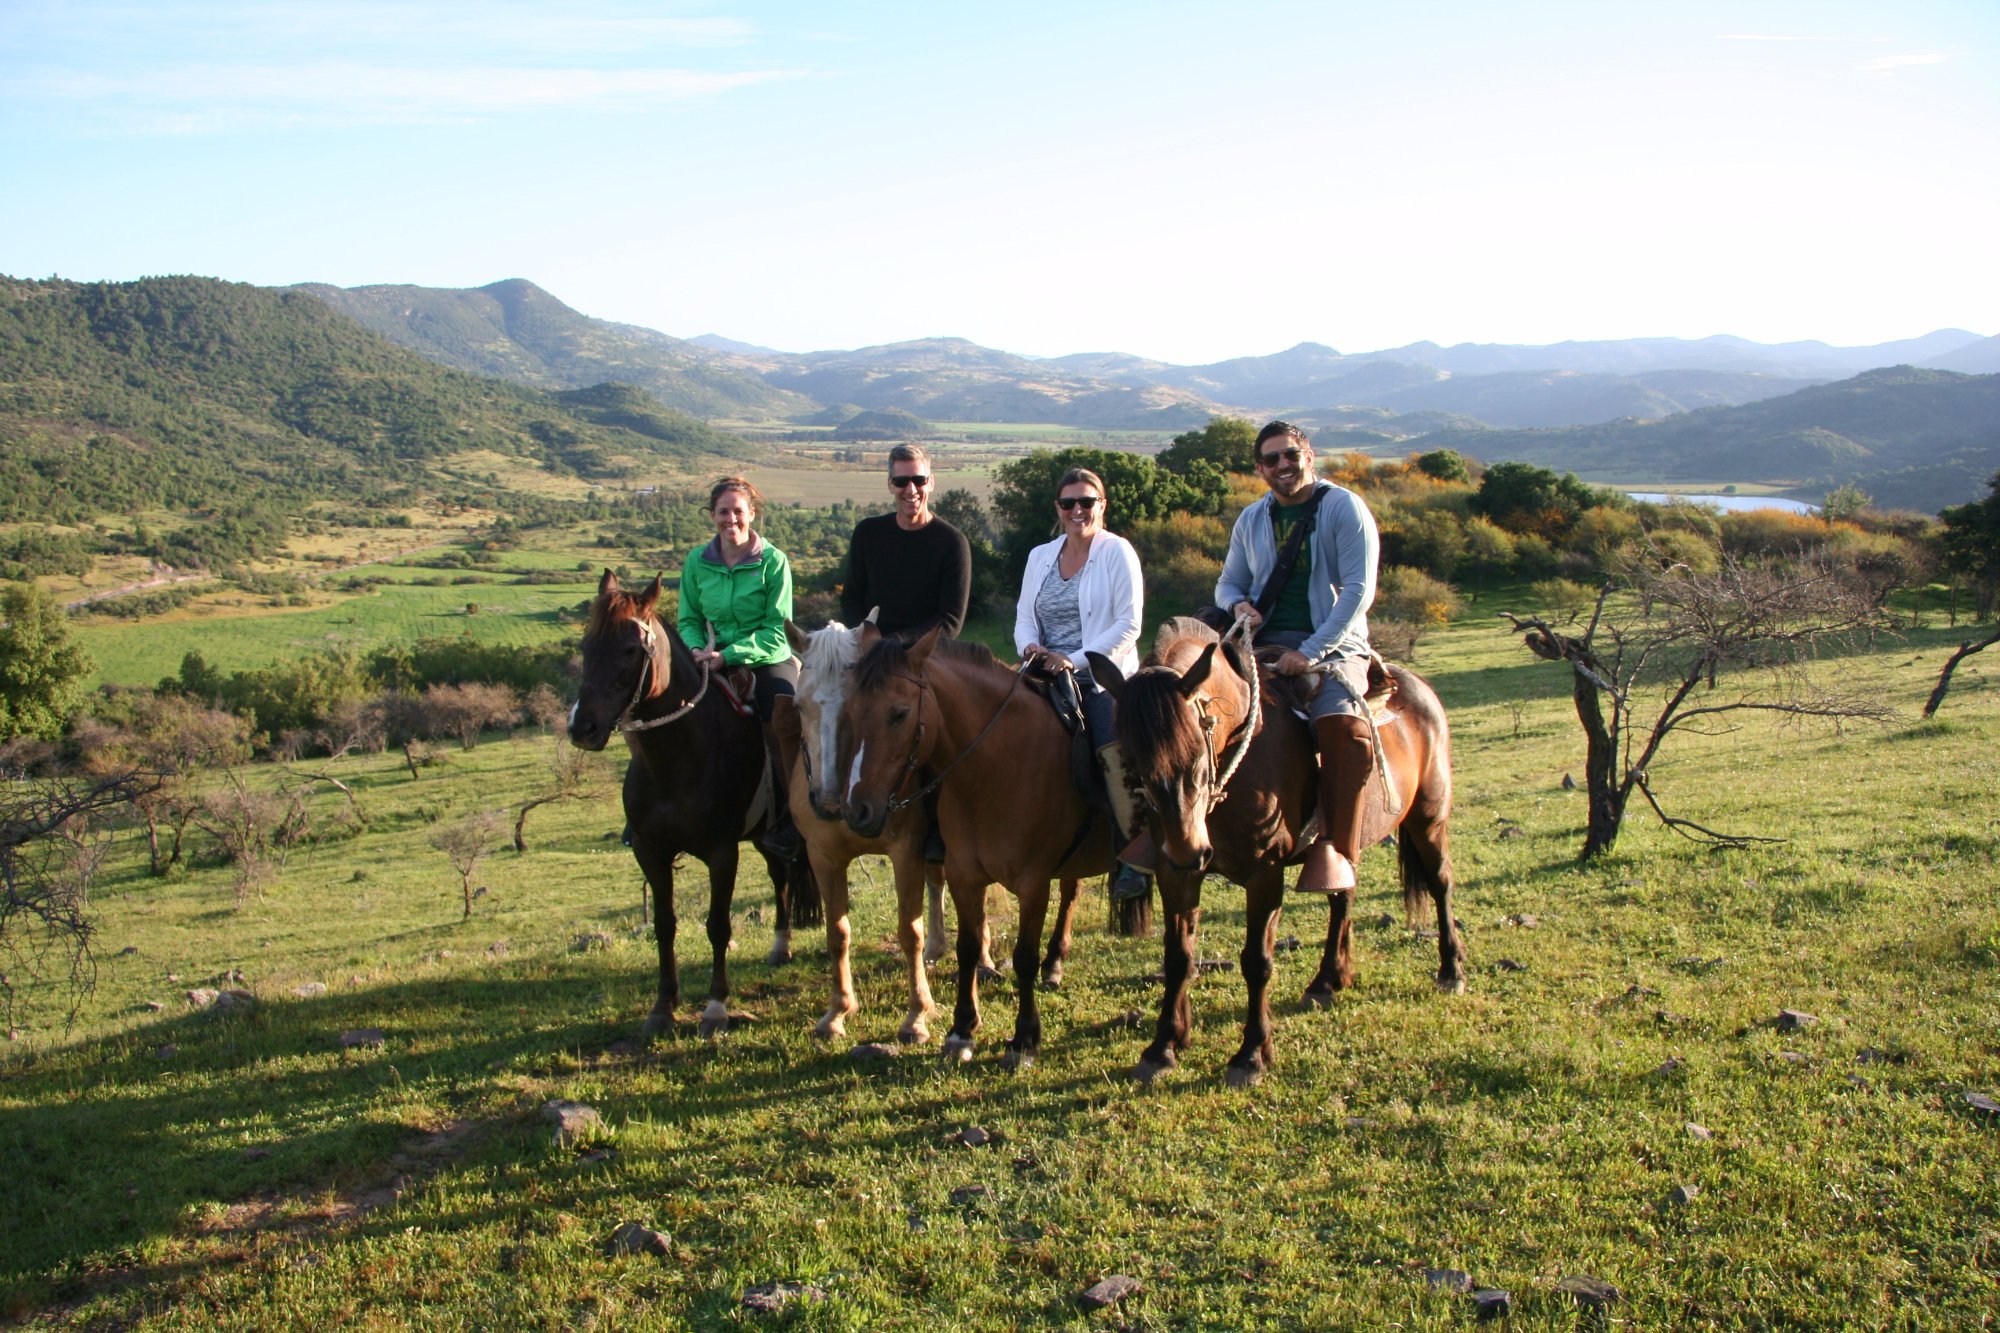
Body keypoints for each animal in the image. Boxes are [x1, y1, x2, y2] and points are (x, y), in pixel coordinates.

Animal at [568, 568, 816, 1040]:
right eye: (586, 646)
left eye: (630, 649)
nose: (582, 726)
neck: (677, 759)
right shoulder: (650, 850)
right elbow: (664, 925)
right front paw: (663, 1007)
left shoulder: (722, 852)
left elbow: (718, 925)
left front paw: (715, 1007)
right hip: (763, 836)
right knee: (780, 875)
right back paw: (781, 947)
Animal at [780, 612, 1000, 1040]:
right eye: (799, 705)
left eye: (852, 704)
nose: (828, 802)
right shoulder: (823, 856)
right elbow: (837, 932)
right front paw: (837, 1011)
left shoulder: (905, 851)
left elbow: (908, 932)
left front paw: (917, 1014)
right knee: (939, 881)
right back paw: (938, 947)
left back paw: (982, 958)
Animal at [844, 624, 1096, 1072]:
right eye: (852, 711)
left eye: (899, 713)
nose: (859, 811)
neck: (997, 764)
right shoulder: (964, 876)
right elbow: (967, 948)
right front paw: (962, 1031)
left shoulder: (1033, 883)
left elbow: (1024, 956)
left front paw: (1024, 1040)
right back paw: (1055, 965)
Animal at [1096, 616, 1472, 1088]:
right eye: (1133, 764)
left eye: (1198, 751)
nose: (1190, 850)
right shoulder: (1174, 872)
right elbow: (1178, 955)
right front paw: (1163, 1046)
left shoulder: (1264, 874)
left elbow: (1257, 961)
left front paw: (1251, 1055)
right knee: (1342, 895)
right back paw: (1329, 981)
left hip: (1428, 818)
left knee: (1440, 884)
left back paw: (1451, 970)